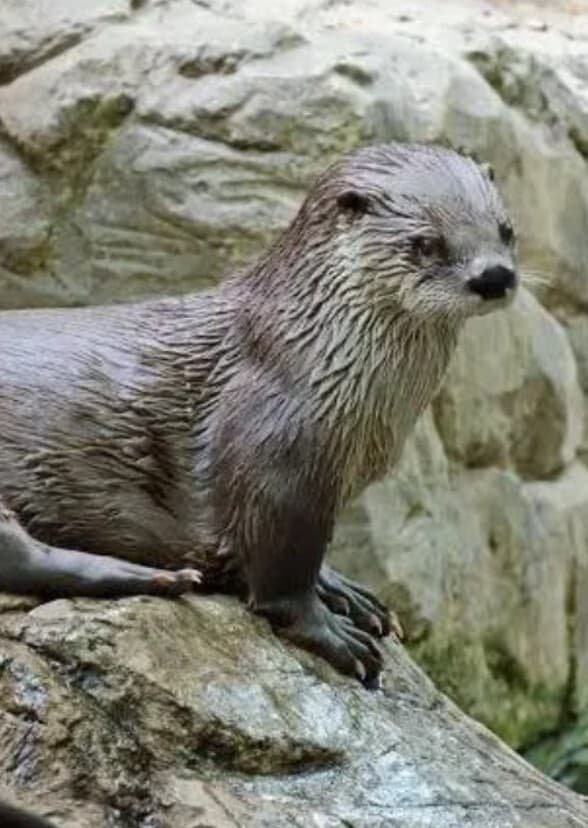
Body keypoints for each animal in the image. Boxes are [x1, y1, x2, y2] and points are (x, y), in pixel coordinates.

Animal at [0, 143, 517, 686]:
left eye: (505, 229)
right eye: (426, 243)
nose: (494, 276)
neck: (311, 349)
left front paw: (343, 590)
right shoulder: (279, 458)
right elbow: (280, 574)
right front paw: (331, 632)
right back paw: (158, 575)